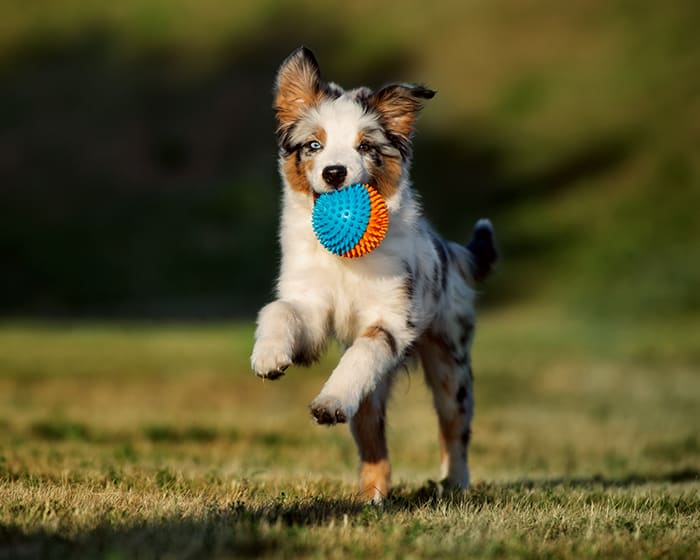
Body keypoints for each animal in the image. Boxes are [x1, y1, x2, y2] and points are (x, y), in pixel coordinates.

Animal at [252, 47, 498, 504]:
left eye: (365, 147)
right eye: (314, 145)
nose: (334, 172)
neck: (343, 258)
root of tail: (449, 248)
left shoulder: (390, 318)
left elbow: (363, 353)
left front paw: (329, 401)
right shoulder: (311, 306)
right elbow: (280, 310)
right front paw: (269, 356)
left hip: (451, 366)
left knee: (454, 429)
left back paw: (455, 484)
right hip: (376, 394)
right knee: (372, 437)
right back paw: (372, 498)